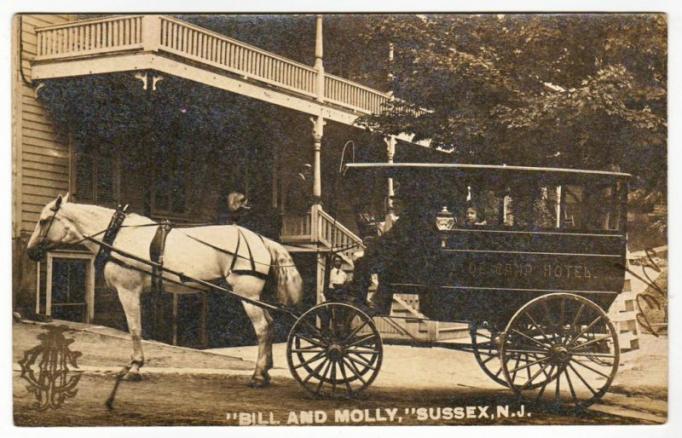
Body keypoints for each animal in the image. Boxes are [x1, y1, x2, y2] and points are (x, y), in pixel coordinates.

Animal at [27, 195, 302, 386]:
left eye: (43, 221)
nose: (30, 252)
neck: (117, 235)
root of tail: (261, 239)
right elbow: (139, 327)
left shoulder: (128, 290)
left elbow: (135, 329)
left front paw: (134, 367)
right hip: (254, 297)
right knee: (269, 324)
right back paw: (265, 371)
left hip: (247, 295)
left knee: (262, 328)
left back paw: (257, 375)